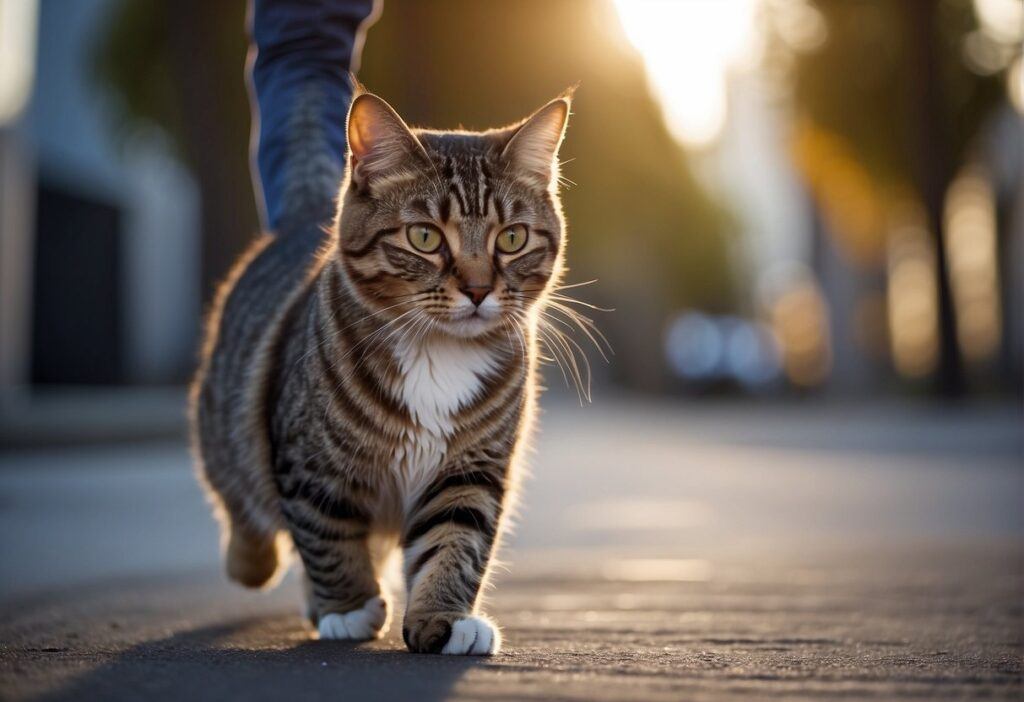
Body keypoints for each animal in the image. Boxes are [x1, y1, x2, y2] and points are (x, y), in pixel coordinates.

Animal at [192, 90, 577, 659]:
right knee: (243, 500)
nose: (479, 289)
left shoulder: (470, 469)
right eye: (424, 237)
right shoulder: (313, 466)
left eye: (511, 238)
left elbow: (455, 540)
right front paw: (349, 608)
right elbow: (327, 536)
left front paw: (443, 618)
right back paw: (256, 564)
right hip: (225, 422)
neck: (437, 352)